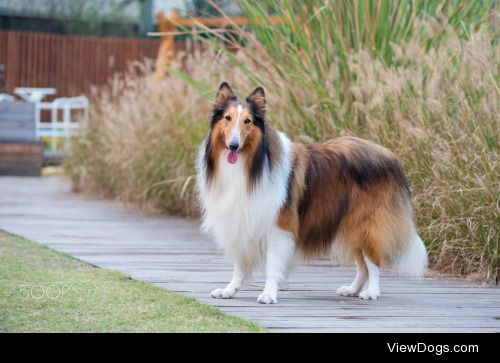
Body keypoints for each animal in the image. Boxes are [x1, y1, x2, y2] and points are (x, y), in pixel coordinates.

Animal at [195, 82, 426, 304]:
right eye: (228, 118)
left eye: (248, 121)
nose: (233, 145)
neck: (250, 165)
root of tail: (390, 156)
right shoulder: (241, 223)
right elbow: (240, 267)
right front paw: (229, 290)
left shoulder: (278, 228)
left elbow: (272, 265)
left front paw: (269, 294)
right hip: (350, 226)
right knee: (362, 266)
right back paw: (352, 289)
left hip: (367, 225)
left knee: (373, 262)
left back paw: (372, 292)